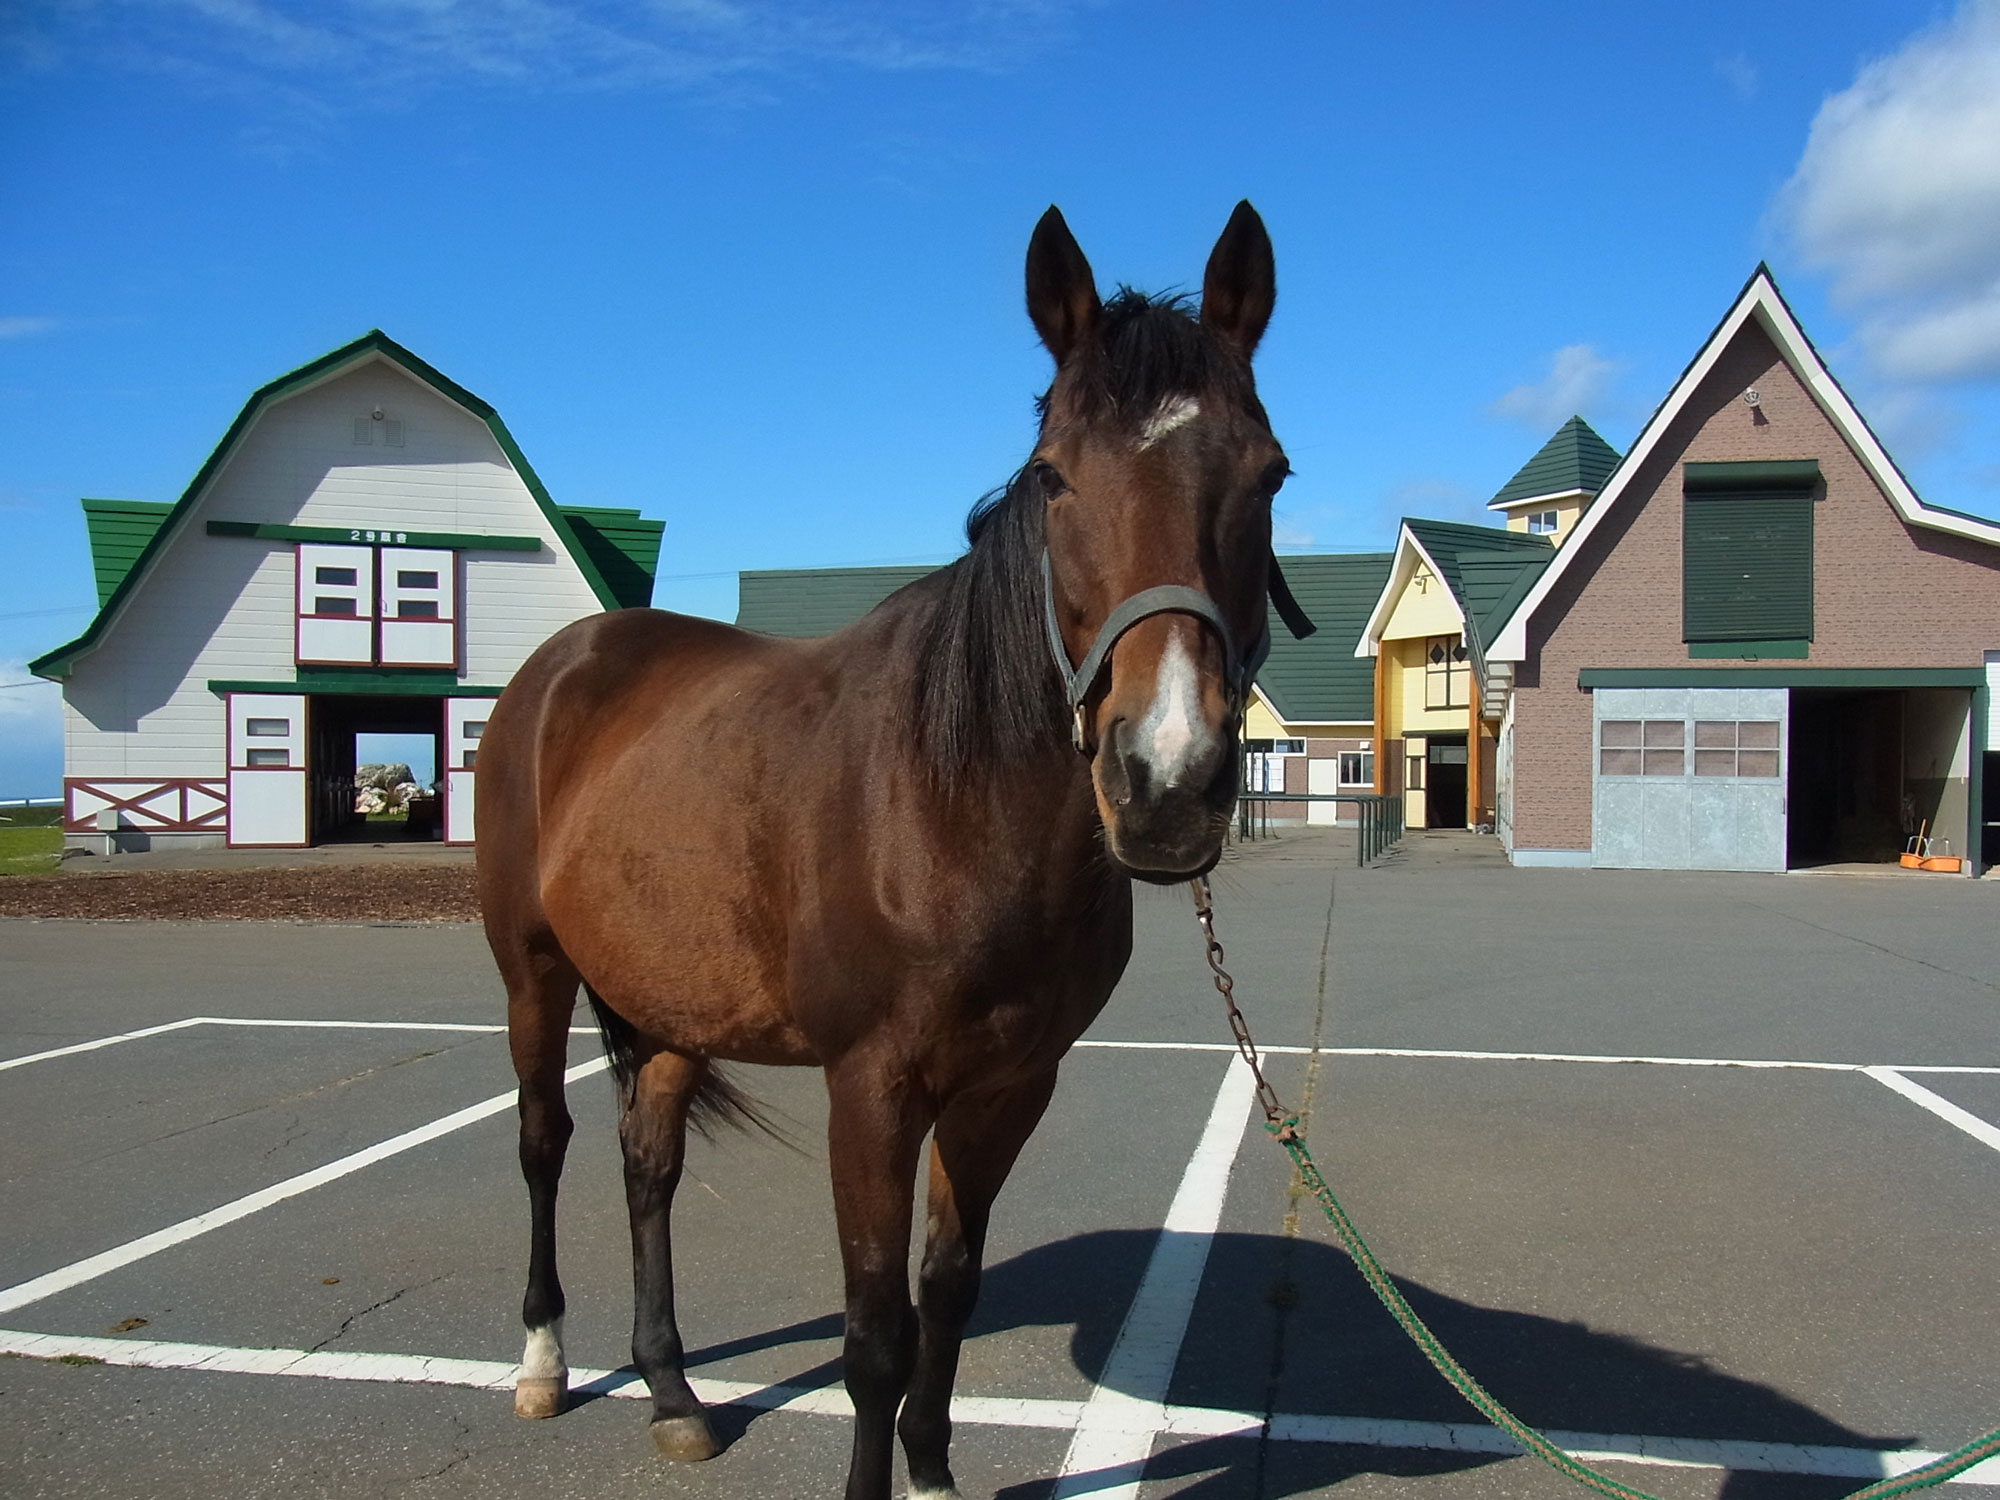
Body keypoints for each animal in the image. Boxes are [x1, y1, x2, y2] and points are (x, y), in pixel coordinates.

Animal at [476, 201, 1294, 1500]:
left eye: (1269, 473)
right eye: (1053, 476)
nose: (1166, 781)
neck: (953, 812)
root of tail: (563, 663)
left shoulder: (1007, 1086)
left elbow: (943, 1294)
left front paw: (934, 1470)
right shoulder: (869, 1092)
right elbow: (871, 1334)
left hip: (668, 1001)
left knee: (646, 1162)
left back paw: (672, 1394)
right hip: (533, 972)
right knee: (542, 1144)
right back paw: (545, 1364)